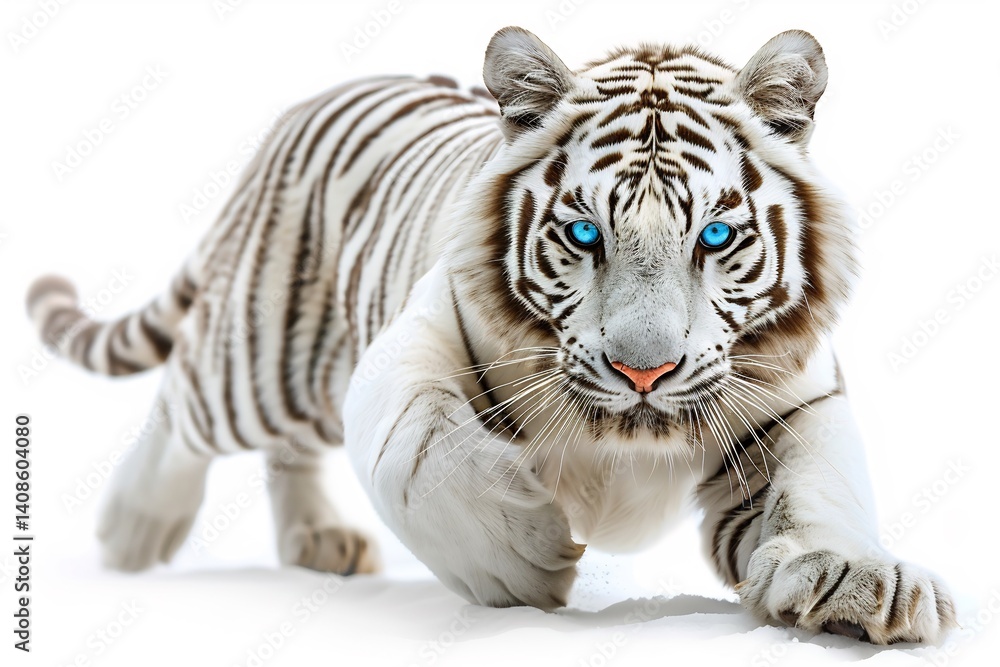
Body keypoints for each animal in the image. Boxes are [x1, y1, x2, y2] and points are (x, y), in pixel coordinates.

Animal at [26, 26, 955, 644]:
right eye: (584, 234)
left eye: (716, 236)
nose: (644, 372)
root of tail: (309, 103)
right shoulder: (409, 345)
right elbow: (425, 449)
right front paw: (526, 559)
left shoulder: (791, 402)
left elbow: (819, 488)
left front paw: (856, 581)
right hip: (264, 360)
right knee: (186, 398)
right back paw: (135, 526)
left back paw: (318, 541)